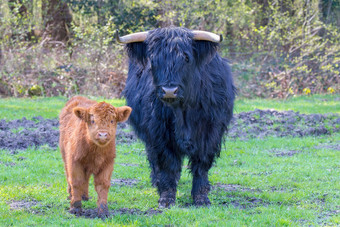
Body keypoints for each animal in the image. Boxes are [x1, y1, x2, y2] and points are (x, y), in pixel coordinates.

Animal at [118, 26, 235, 207]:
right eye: (153, 59)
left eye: (186, 58)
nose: (169, 90)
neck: (183, 110)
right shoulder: (159, 134)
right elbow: (168, 164)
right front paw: (166, 197)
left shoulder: (211, 132)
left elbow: (201, 164)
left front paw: (201, 198)